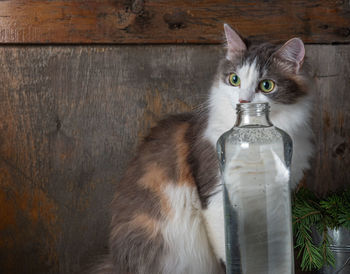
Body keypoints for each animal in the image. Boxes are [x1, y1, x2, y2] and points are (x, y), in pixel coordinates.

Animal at [92, 24, 314, 274]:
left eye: (266, 85)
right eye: (234, 79)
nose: (243, 101)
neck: (254, 137)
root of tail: (116, 262)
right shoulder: (216, 195)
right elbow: (231, 252)